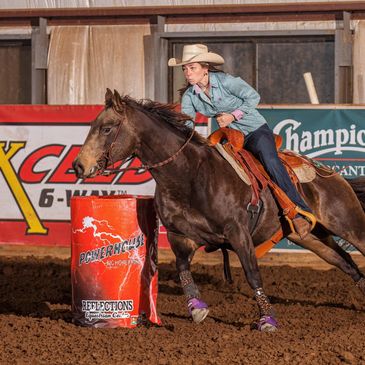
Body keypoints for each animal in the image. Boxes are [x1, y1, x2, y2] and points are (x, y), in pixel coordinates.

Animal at [72, 89, 364, 332]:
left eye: (107, 128)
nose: (78, 165)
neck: (189, 174)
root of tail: (333, 175)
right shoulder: (180, 236)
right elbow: (182, 269)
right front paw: (196, 309)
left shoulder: (238, 233)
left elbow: (252, 273)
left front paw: (268, 320)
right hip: (313, 238)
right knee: (347, 264)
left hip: (349, 225)